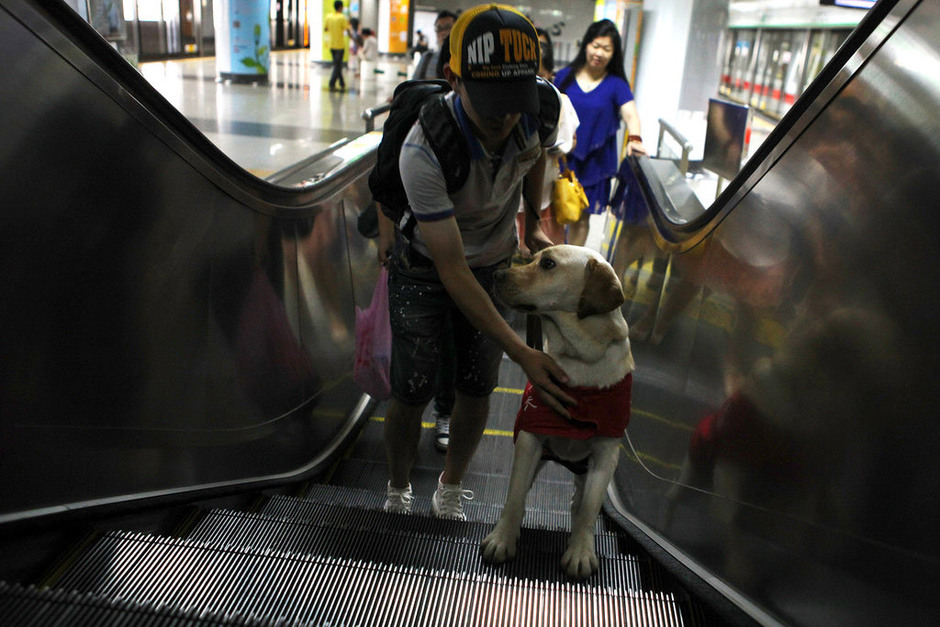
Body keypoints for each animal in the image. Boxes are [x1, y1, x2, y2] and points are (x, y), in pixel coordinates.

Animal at [484, 245, 632, 580]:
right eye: (535, 257)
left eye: (548, 264)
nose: (497, 274)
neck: (580, 358)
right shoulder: (529, 438)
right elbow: (514, 494)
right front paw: (503, 537)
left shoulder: (607, 454)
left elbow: (590, 507)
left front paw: (581, 551)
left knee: (581, 497)